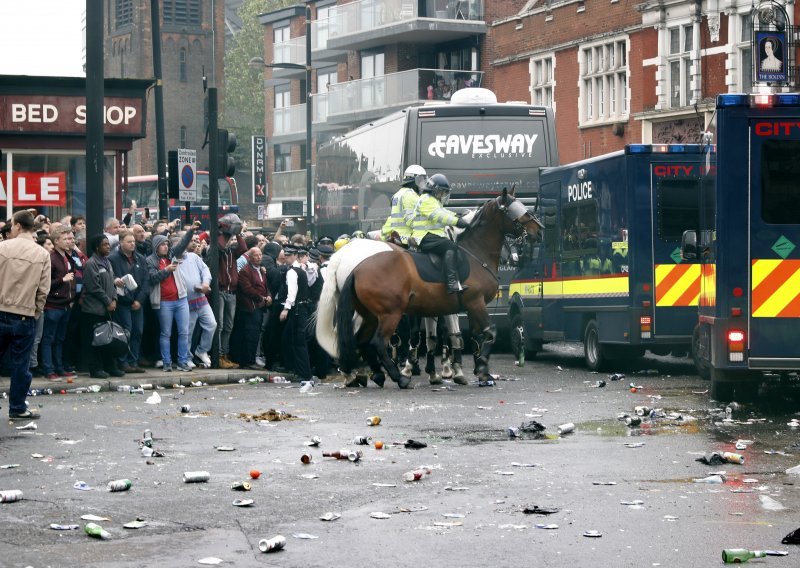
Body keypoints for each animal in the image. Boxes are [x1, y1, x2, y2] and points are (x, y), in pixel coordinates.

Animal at [316, 189, 540, 388]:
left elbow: (466, 336)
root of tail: (356, 266)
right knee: (376, 342)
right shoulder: (473, 303)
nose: (539, 229)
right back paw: (396, 378)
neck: (474, 253)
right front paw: (472, 370)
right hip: (390, 313)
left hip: (370, 314)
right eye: (515, 209)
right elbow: (484, 332)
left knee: (359, 340)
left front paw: (469, 371)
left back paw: (370, 374)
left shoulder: (461, 307)